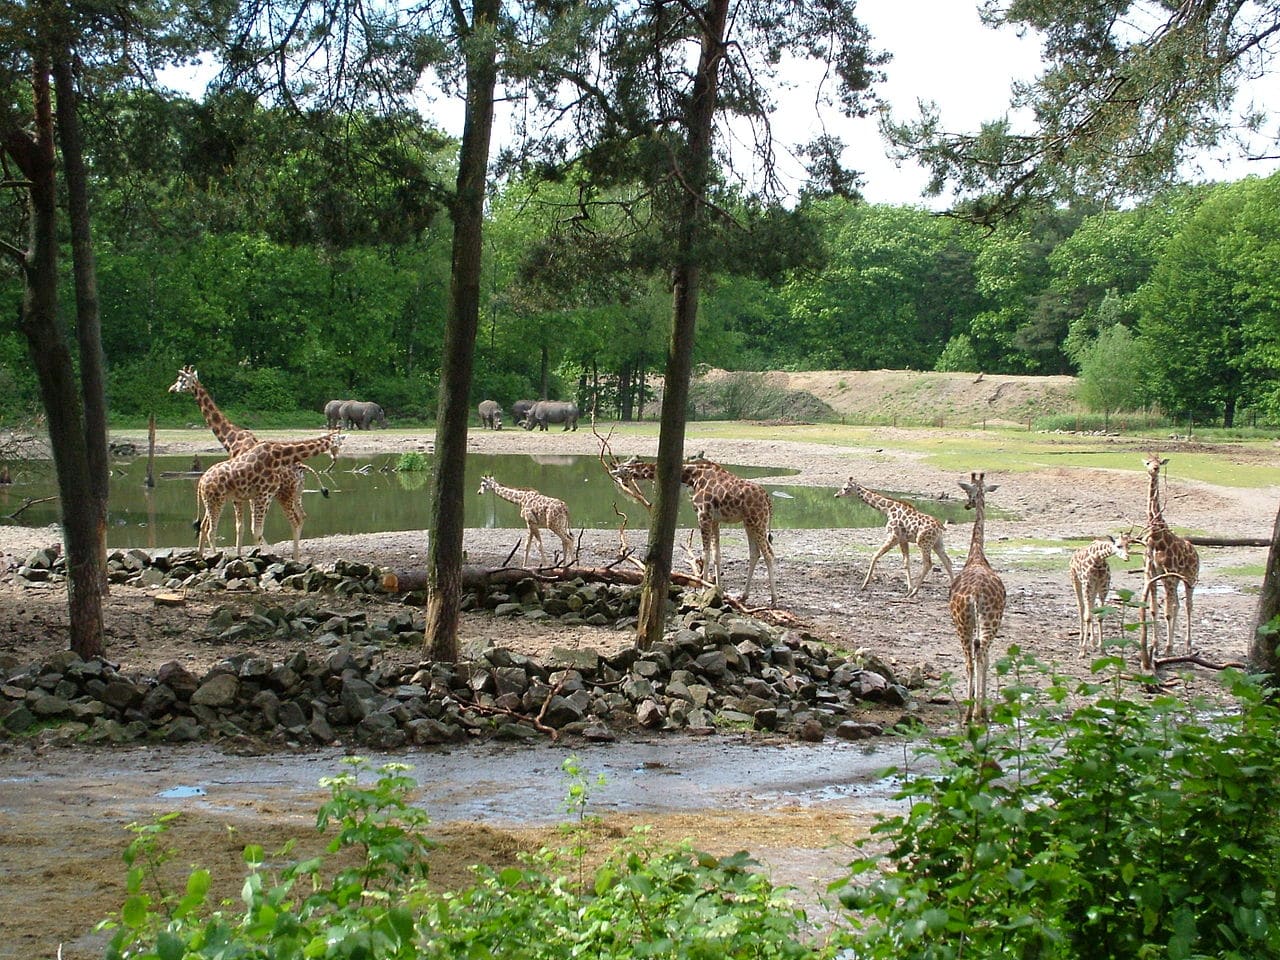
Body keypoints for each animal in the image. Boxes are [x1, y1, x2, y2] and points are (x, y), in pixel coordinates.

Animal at [195, 435, 345, 560]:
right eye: (338, 444)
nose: (335, 458)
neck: (279, 455)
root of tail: (201, 482)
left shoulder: (265, 495)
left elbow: (255, 530)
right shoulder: (263, 494)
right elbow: (256, 531)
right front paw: (259, 556)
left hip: (212, 502)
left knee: (204, 526)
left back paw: (201, 556)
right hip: (216, 501)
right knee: (211, 531)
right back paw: (214, 557)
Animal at [611, 455, 778, 604]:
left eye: (623, 470)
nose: (615, 476)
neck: (692, 477)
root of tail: (768, 500)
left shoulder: (703, 515)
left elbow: (706, 554)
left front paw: (703, 590)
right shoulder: (715, 520)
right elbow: (717, 555)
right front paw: (718, 590)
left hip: (757, 520)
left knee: (768, 554)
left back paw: (774, 600)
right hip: (749, 522)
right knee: (755, 553)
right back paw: (743, 596)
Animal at [1141, 455, 1198, 670]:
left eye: (1158, 462)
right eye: (1148, 463)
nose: (1155, 469)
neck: (1156, 537)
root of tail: (1196, 552)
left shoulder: (1167, 575)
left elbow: (1166, 612)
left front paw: (1166, 648)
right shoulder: (1151, 574)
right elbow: (1155, 610)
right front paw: (1156, 647)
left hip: (1190, 579)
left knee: (1188, 606)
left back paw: (1188, 647)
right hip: (1177, 580)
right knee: (1177, 605)